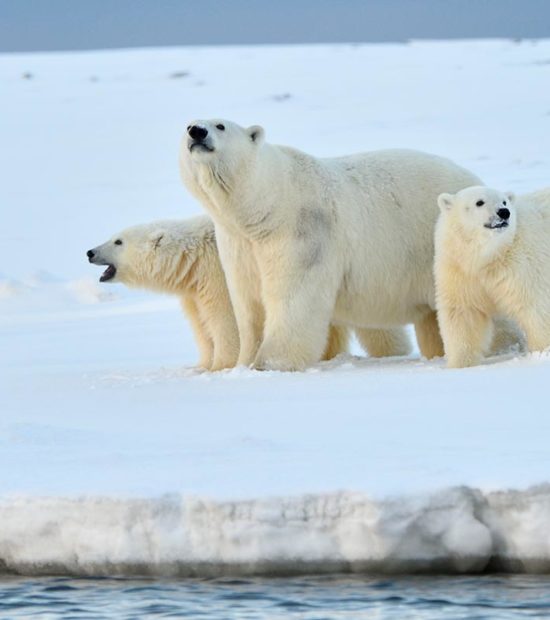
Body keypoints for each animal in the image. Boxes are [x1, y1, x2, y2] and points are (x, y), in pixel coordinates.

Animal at [85, 214, 370, 368]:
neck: (192, 258)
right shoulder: (193, 290)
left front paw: (222, 365)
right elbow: (201, 326)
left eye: (118, 241)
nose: (90, 252)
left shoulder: (217, 276)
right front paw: (201, 365)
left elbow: (226, 321)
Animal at [181, 119, 488, 370]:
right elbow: (248, 303)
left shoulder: (303, 232)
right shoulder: (239, 244)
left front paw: (270, 363)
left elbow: (293, 296)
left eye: (220, 125)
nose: (197, 132)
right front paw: (244, 362)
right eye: (189, 124)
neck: (266, 205)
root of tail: (474, 178)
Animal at [436, 186, 550, 366]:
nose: (504, 212)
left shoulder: (520, 265)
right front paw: (461, 364)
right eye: (479, 202)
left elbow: (535, 307)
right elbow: (463, 314)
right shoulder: (460, 272)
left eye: (504, 201)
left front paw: (542, 353)